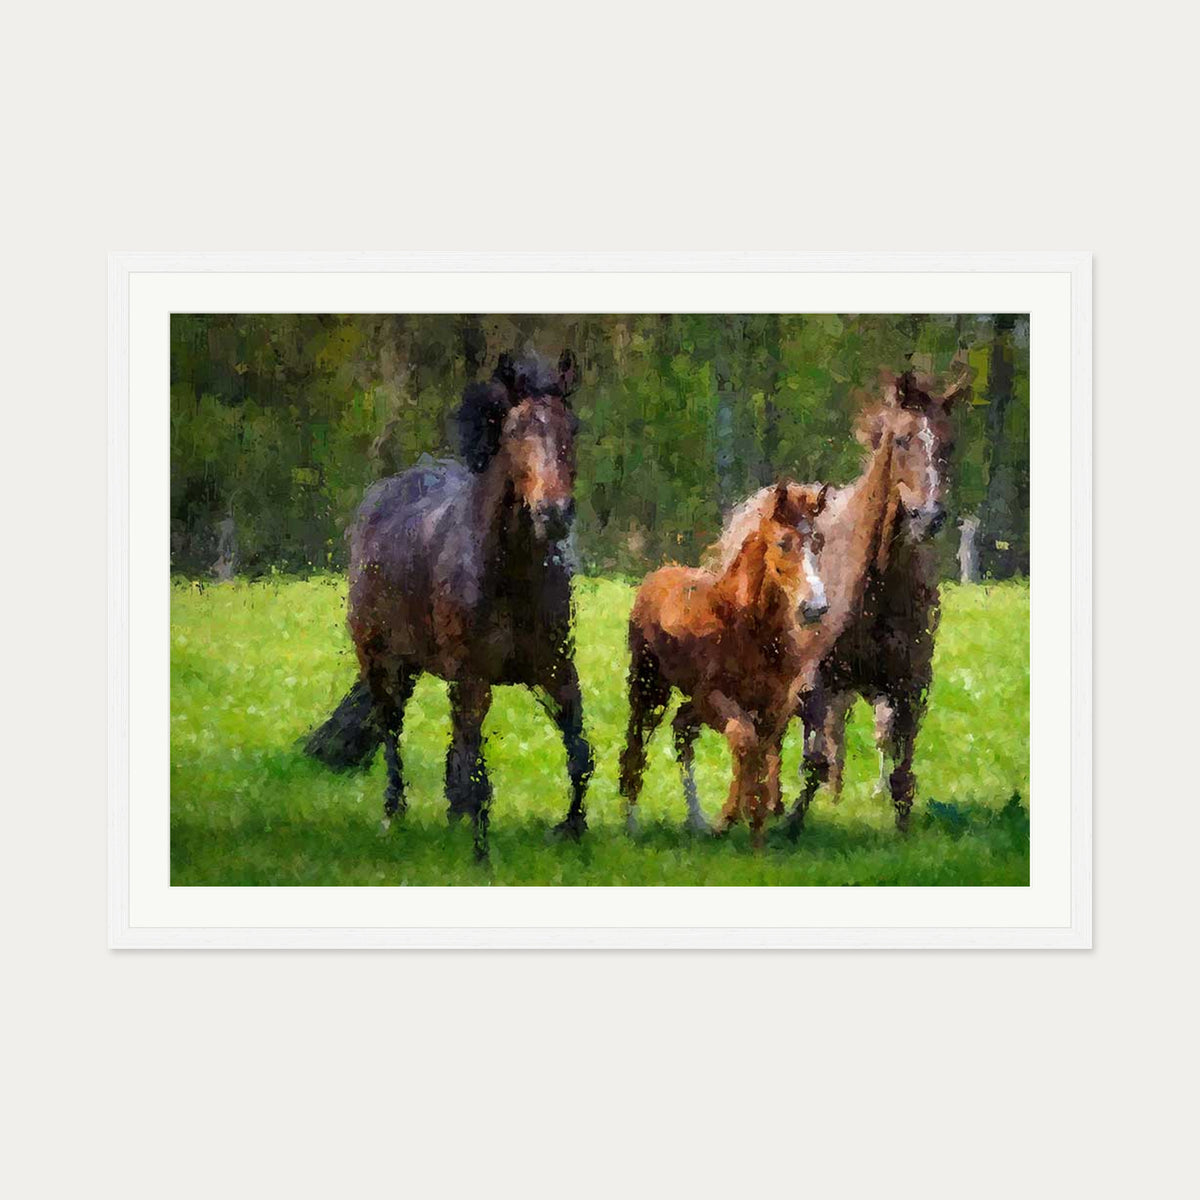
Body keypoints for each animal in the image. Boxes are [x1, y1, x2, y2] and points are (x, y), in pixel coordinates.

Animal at [303, 350, 592, 860]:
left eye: (571, 427)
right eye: (515, 431)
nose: (554, 514)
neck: (509, 575)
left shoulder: (555, 668)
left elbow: (579, 752)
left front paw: (572, 831)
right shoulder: (473, 677)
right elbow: (476, 770)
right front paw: (480, 854)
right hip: (383, 662)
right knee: (392, 731)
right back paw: (394, 813)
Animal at [619, 480, 830, 847]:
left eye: (819, 542)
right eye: (783, 543)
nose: (815, 607)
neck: (748, 626)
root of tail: (658, 575)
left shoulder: (775, 704)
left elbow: (761, 753)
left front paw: (755, 828)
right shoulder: (713, 697)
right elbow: (744, 741)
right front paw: (730, 819)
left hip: (688, 702)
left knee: (682, 729)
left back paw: (697, 820)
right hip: (649, 688)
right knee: (637, 743)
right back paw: (633, 824)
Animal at [710, 365, 970, 834]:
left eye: (949, 442)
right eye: (902, 439)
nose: (929, 517)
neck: (877, 585)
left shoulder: (910, 684)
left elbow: (900, 769)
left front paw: (902, 831)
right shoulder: (816, 680)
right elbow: (813, 759)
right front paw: (792, 824)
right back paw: (774, 804)